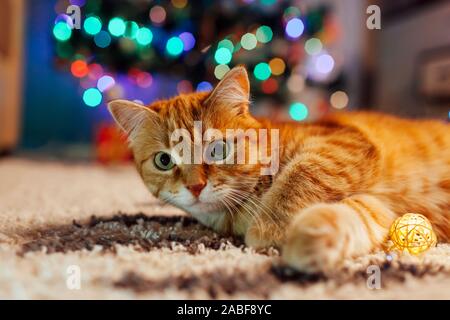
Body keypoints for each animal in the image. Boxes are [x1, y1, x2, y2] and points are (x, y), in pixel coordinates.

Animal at [109, 66, 450, 274]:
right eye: (164, 161)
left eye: (217, 149)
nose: (195, 187)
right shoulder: (385, 208)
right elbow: (353, 216)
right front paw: (310, 241)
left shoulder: (341, 145)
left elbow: (302, 174)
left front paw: (270, 230)